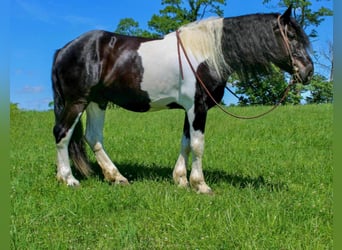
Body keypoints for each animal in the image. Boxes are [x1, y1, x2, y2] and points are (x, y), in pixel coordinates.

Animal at [50, 5, 312, 193]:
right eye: (291, 35)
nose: (308, 71)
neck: (206, 54)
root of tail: (64, 49)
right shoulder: (198, 107)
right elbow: (197, 144)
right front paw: (200, 185)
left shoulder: (190, 109)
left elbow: (185, 142)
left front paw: (181, 180)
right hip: (77, 101)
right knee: (62, 133)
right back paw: (68, 179)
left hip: (97, 102)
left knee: (93, 137)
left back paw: (116, 177)